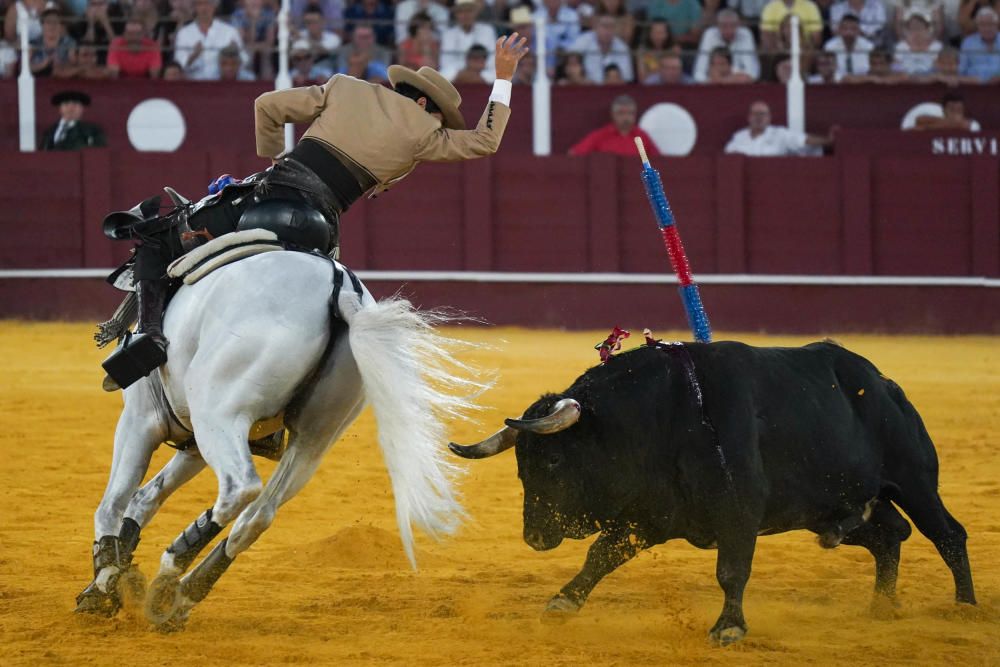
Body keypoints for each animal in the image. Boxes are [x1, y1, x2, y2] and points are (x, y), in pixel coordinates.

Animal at [78, 250, 476, 632]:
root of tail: (341, 289)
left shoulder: (142, 419)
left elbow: (114, 501)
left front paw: (104, 583)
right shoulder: (194, 446)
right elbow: (146, 497)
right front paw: (113, 581)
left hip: (218, 414)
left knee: (240, 489)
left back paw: (173, 565)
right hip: (313, 437)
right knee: (259, 513)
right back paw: (179, 595)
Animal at [454, 342, 976, 644]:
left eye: (554, 461)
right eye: (520, 467)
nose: (535, 538)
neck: (661, 417)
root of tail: (885, 384)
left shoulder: (739, 512)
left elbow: (731, 571)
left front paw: (729, 628)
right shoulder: (648, 517)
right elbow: (601, 555)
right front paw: (562, 604)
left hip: (914, 480)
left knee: (947, 534)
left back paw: (964, 608)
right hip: (831, 509)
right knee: (890, 534)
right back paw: (881, 606)